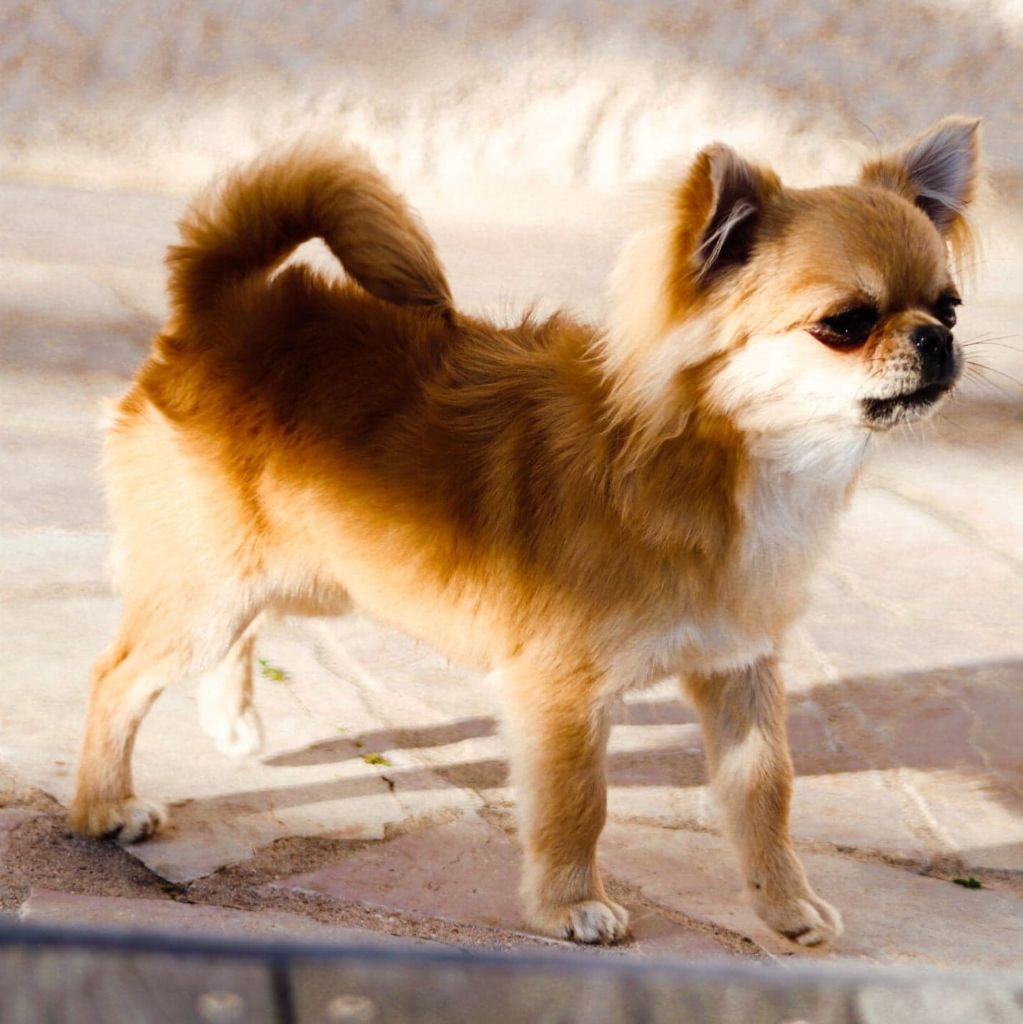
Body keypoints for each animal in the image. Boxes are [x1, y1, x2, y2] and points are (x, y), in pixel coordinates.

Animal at [71, 116, 980, 946]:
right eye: (846, 322)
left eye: (949, 306)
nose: (937, 340)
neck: (726, 461)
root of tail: (222, 305)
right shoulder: (561, 692)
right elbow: (577, 801)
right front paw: (571, 906)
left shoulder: (738, 670)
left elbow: (766, 793)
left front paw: (784, 908)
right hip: (211, 589)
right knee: (119, 676)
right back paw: (103, 805)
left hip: (309, 572)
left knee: (244, 630)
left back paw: (229, 722)